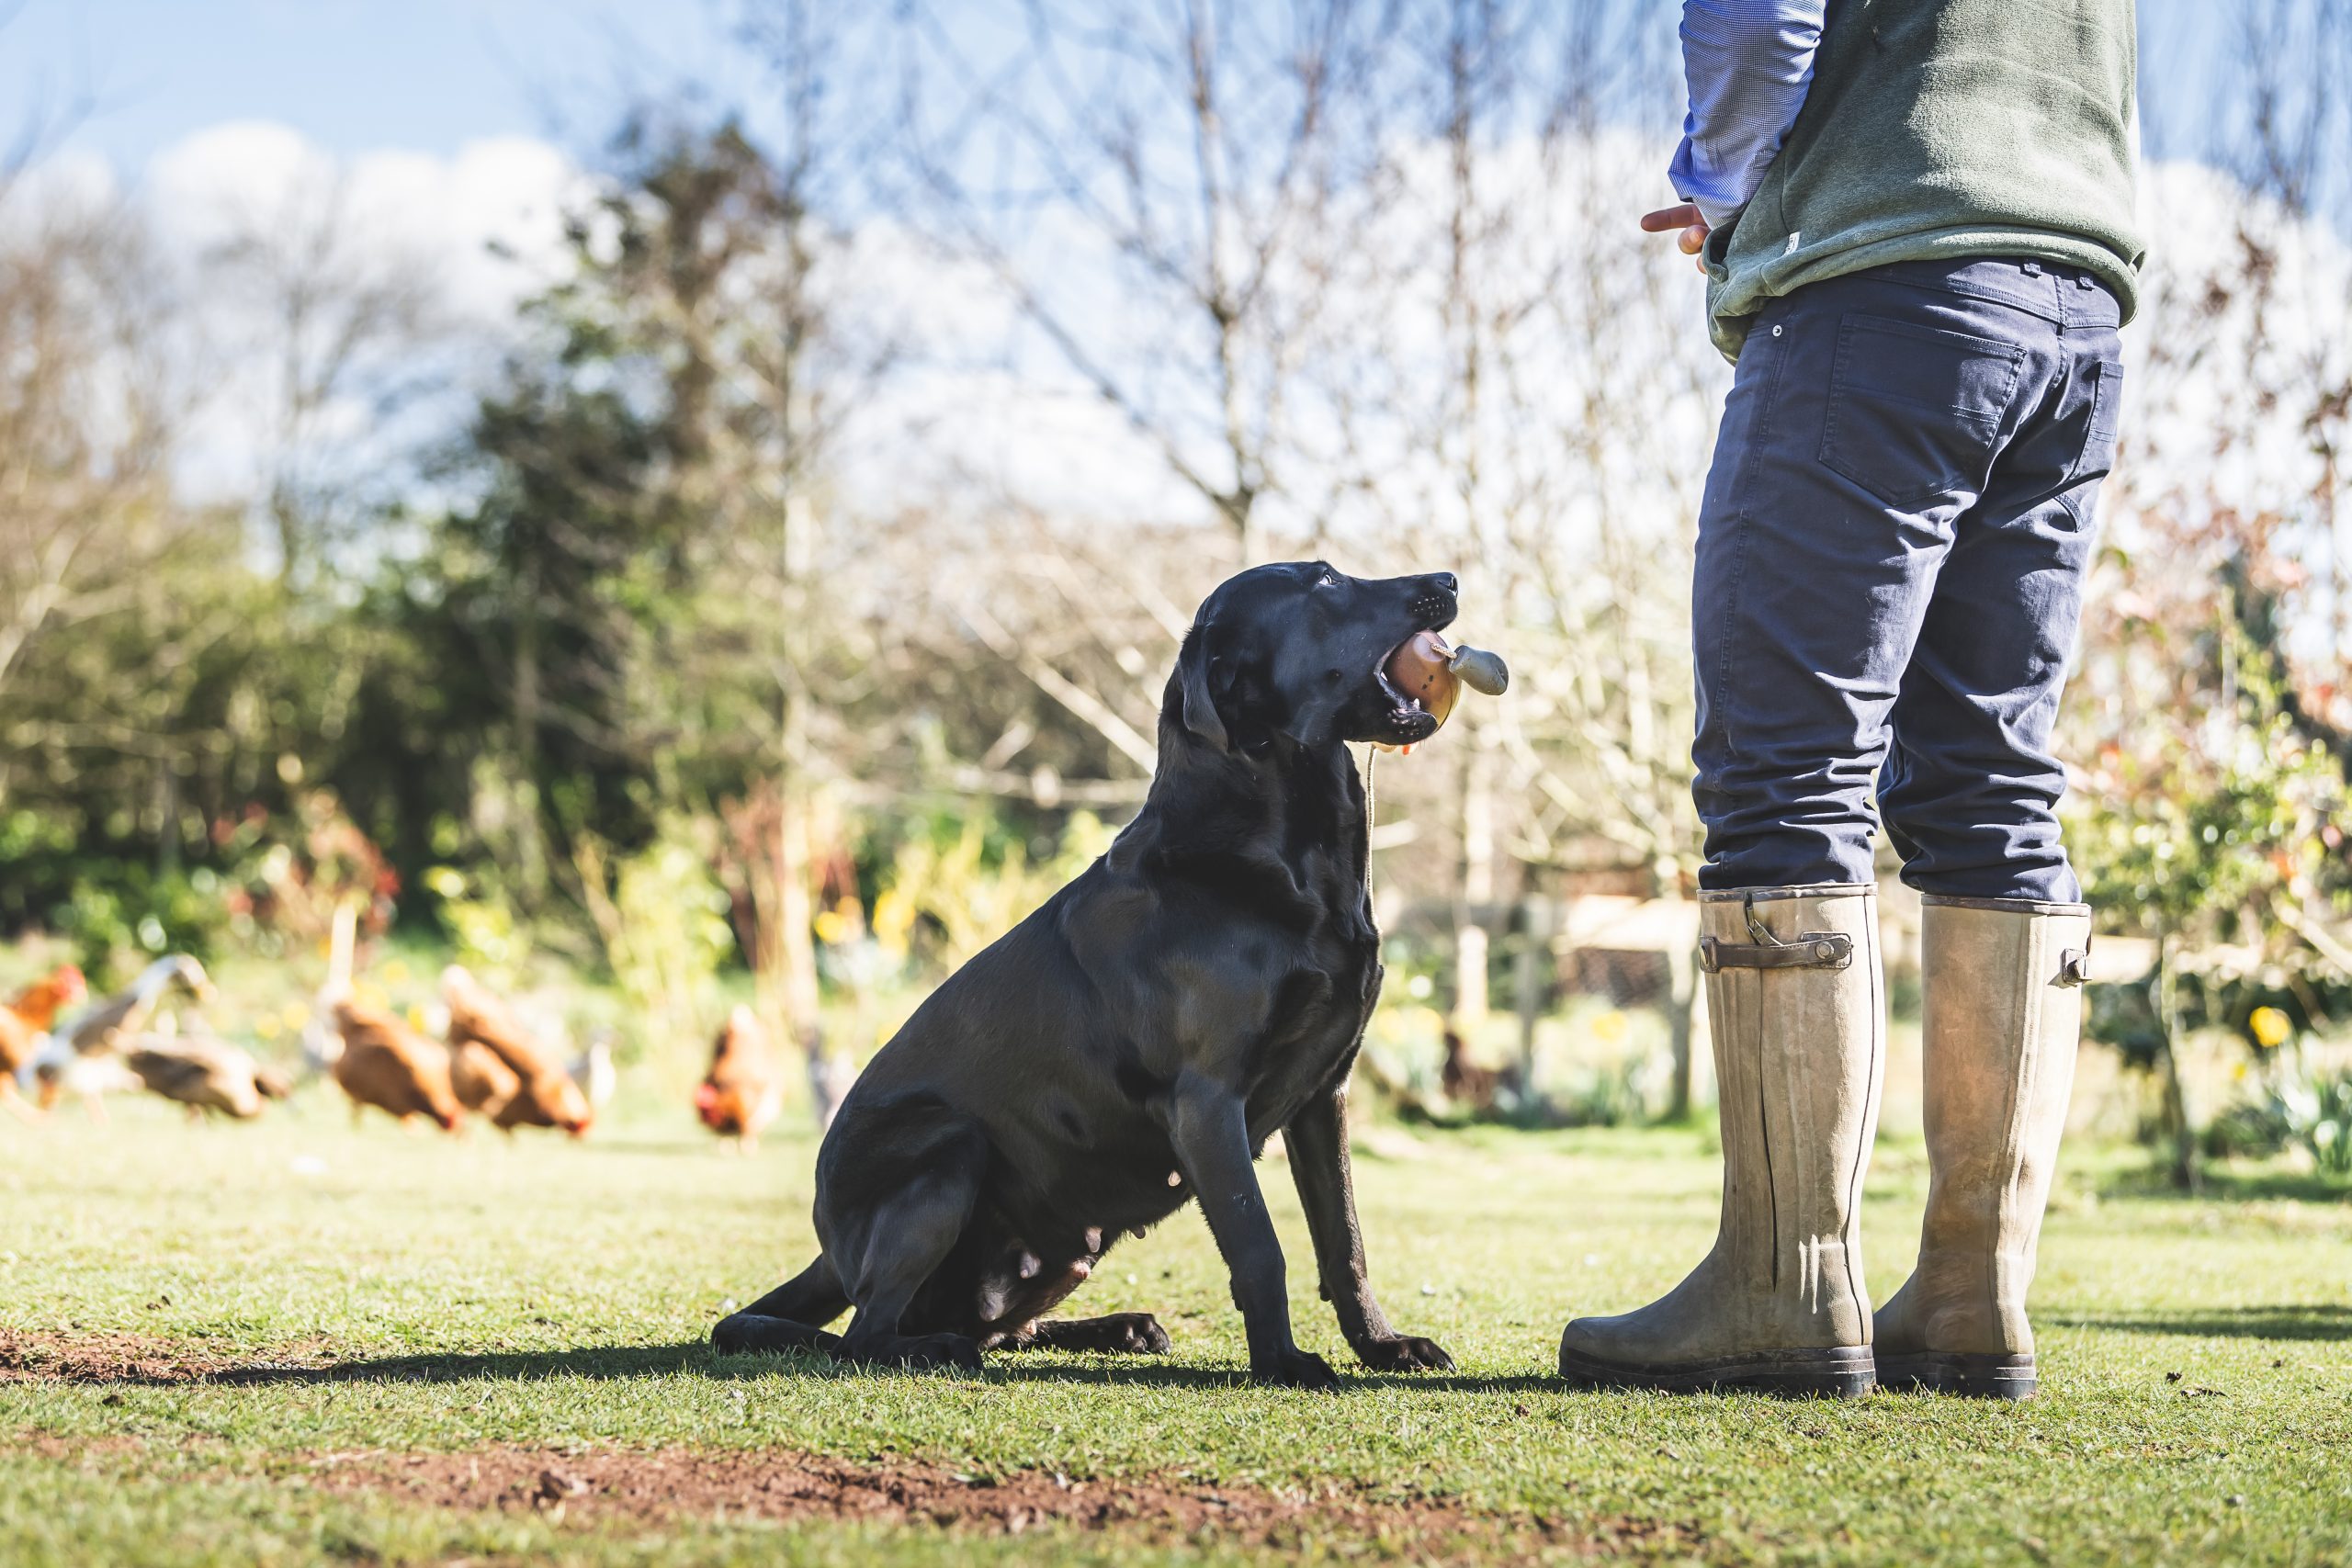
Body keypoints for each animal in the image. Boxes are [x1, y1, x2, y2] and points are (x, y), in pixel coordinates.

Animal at [706, 561, 1458, 1382]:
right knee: (867, 1334)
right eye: (1322, 581)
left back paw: (1117, 1327)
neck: (1283, 856)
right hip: (947, 1148)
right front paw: (1282, 1361)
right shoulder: (1207, 1101)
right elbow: (1262, 1247)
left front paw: (1383, 1344)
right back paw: (935, 1347)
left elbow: (1344, 1242)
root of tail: (827, 1247)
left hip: (1067, 1246)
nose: (1448, 578)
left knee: (997, 1327)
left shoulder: (1326, 1094)